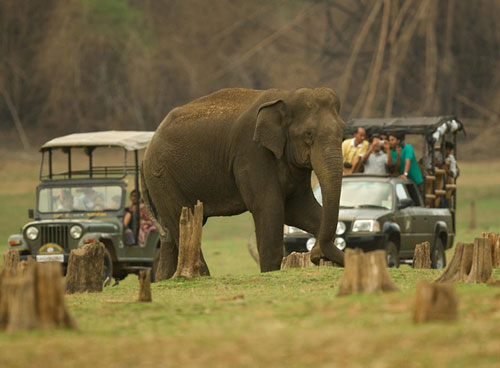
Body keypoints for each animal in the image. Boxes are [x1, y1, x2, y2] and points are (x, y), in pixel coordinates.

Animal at [141, 87, 344, 276]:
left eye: (343, 133)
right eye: (308, 134)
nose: (316, 255)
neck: (287, 96)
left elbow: (300, 209)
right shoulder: (251, 153)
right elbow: (269, 208)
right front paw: (269, 273)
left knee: (169, 235)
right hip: (162, 175)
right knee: (180, 219)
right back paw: (201, 276)